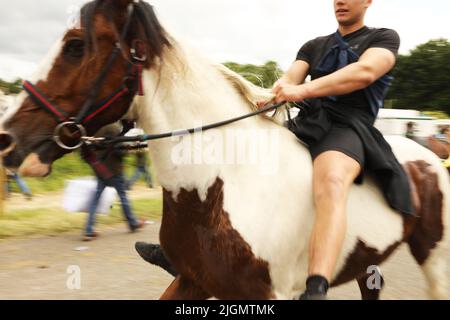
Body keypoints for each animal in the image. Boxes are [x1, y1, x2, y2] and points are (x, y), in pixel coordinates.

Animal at [0, 0, 448, 300]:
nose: (8, 139)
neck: (223, 186)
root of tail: (429, 157)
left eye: (76, 45)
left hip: (434, 260)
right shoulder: (193, 280)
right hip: (368, 262)